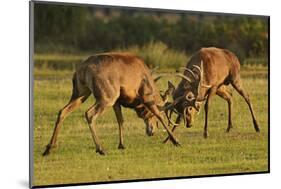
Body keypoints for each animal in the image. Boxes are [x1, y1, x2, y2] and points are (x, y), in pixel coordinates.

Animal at [43, 51, 179, 155]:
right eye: (162, 110)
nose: (151, 131)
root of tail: (84, 69)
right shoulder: (145, 96)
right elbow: (159, 116)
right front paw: (176, 141)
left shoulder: (117, 102)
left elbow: (120, 120)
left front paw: (121, 145)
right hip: (106, 97)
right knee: (89, 114)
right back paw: (100, 149)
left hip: (81, 94)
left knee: (63, 111)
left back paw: (49, 147)